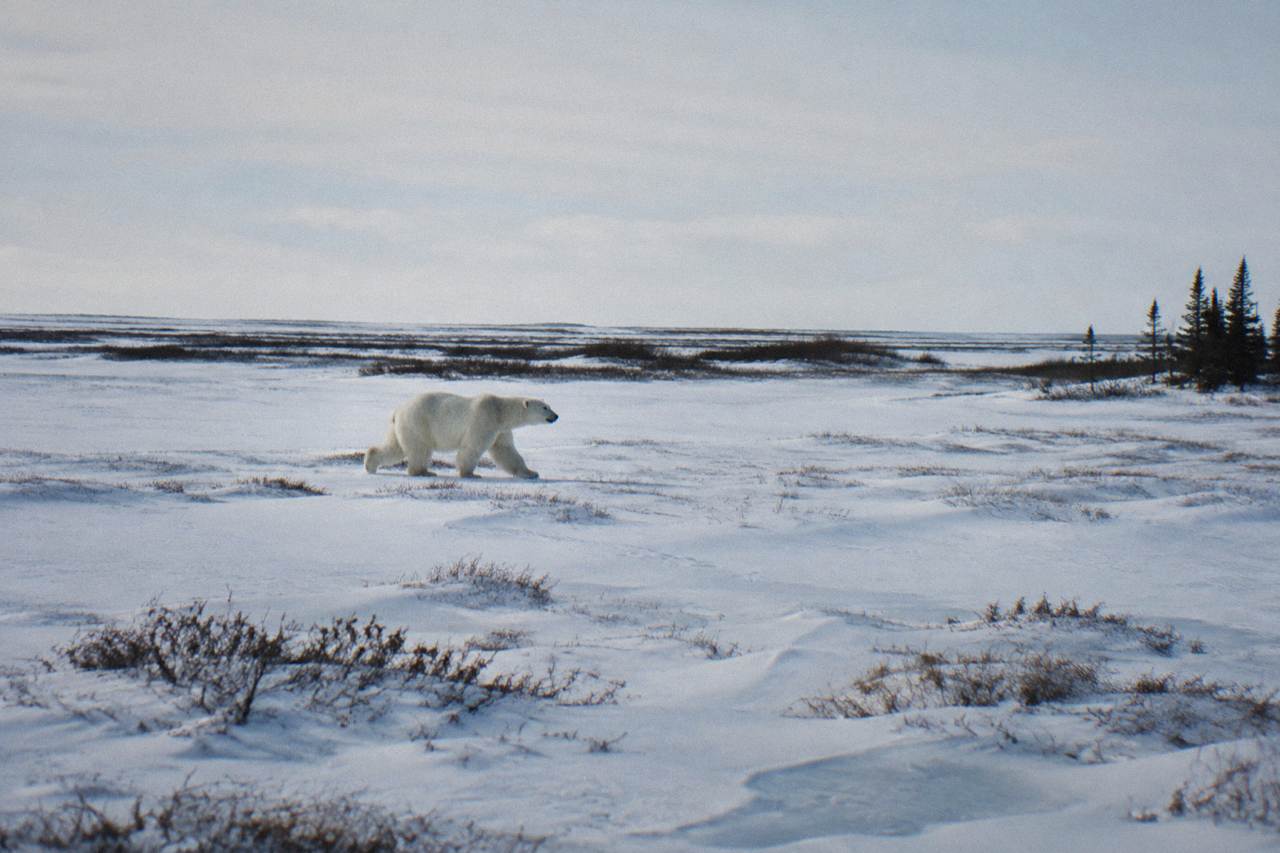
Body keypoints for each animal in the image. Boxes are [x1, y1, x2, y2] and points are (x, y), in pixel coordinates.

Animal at [363, 392, 558, 479]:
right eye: (545, 408)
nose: (556, 416)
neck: (500, 411)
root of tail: (397, 411)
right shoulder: (484, 419)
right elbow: (472, 447)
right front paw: (470, 474)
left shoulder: (500, 430)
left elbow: (506, 450)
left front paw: (531, 473)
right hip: (418, 422)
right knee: (420, 449)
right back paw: (423, 471)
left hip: (402, 427)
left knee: (394, 447)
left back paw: (370, 465)